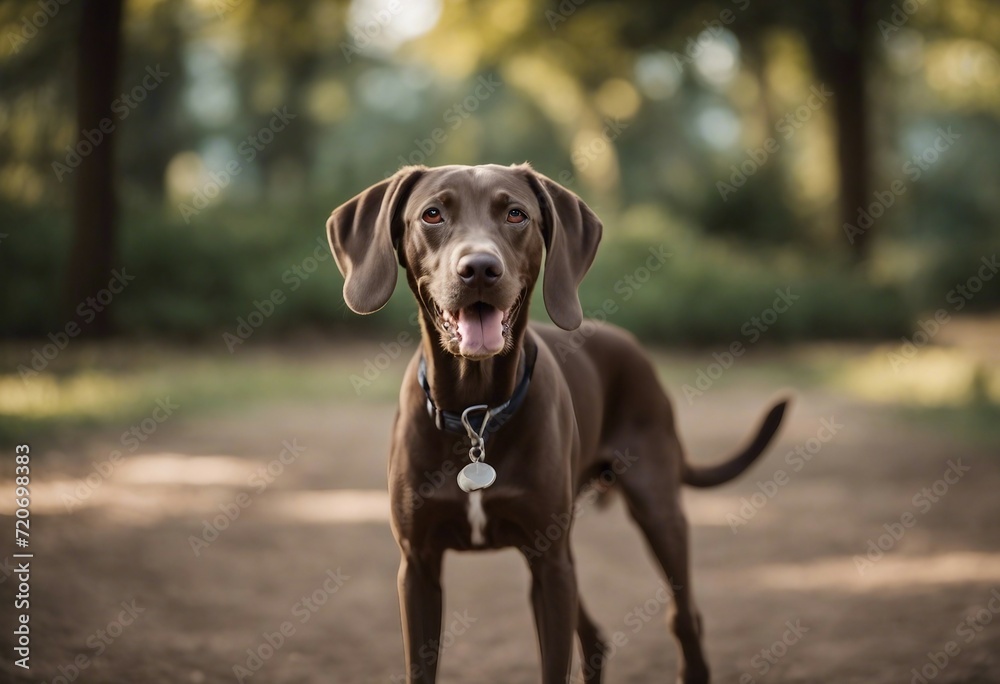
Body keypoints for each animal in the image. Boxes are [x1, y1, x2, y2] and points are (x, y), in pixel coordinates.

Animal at [328, 163, 788, 680]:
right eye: (432, 214)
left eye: (515, 214)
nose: (480, 269)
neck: (476, 414)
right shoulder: (419, 567)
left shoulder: (549, 564)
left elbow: (554, 663)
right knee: (594, 637)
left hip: (655, 508)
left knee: (684, 614)